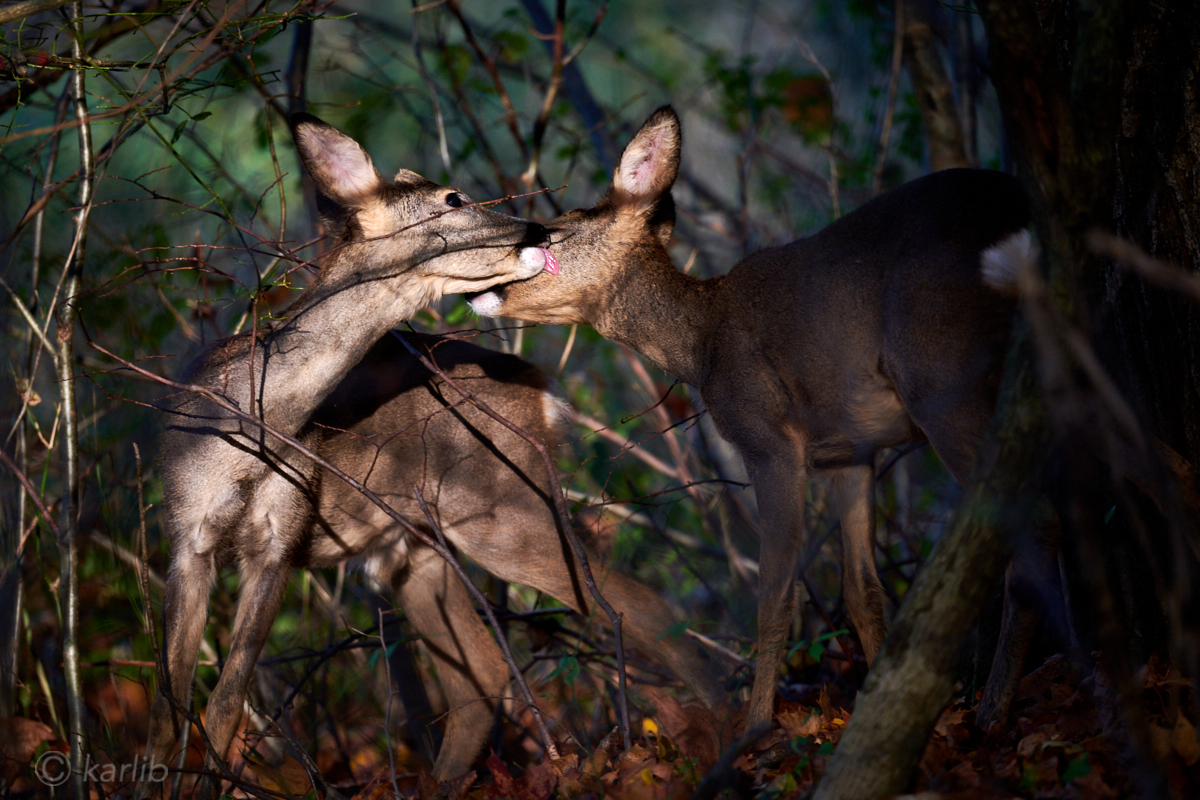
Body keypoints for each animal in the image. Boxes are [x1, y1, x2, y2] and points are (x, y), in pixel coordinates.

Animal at [141, 115, 552, 796]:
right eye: (452, 198)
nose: (538, 230)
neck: (246, 436)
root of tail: (545, 392)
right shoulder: (186, 535)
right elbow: (171, 703)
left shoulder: (279, 536)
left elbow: (223, 703)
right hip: (423, 548)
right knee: (484, 677)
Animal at [468, 106, 1041, 734]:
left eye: (554, 231)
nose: (479, 288)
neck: (702, 344)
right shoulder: (849, 453)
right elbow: (861, 591)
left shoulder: (769, 441)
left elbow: (774, 596)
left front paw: (759, 729)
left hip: (941, 371)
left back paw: (992, 712)